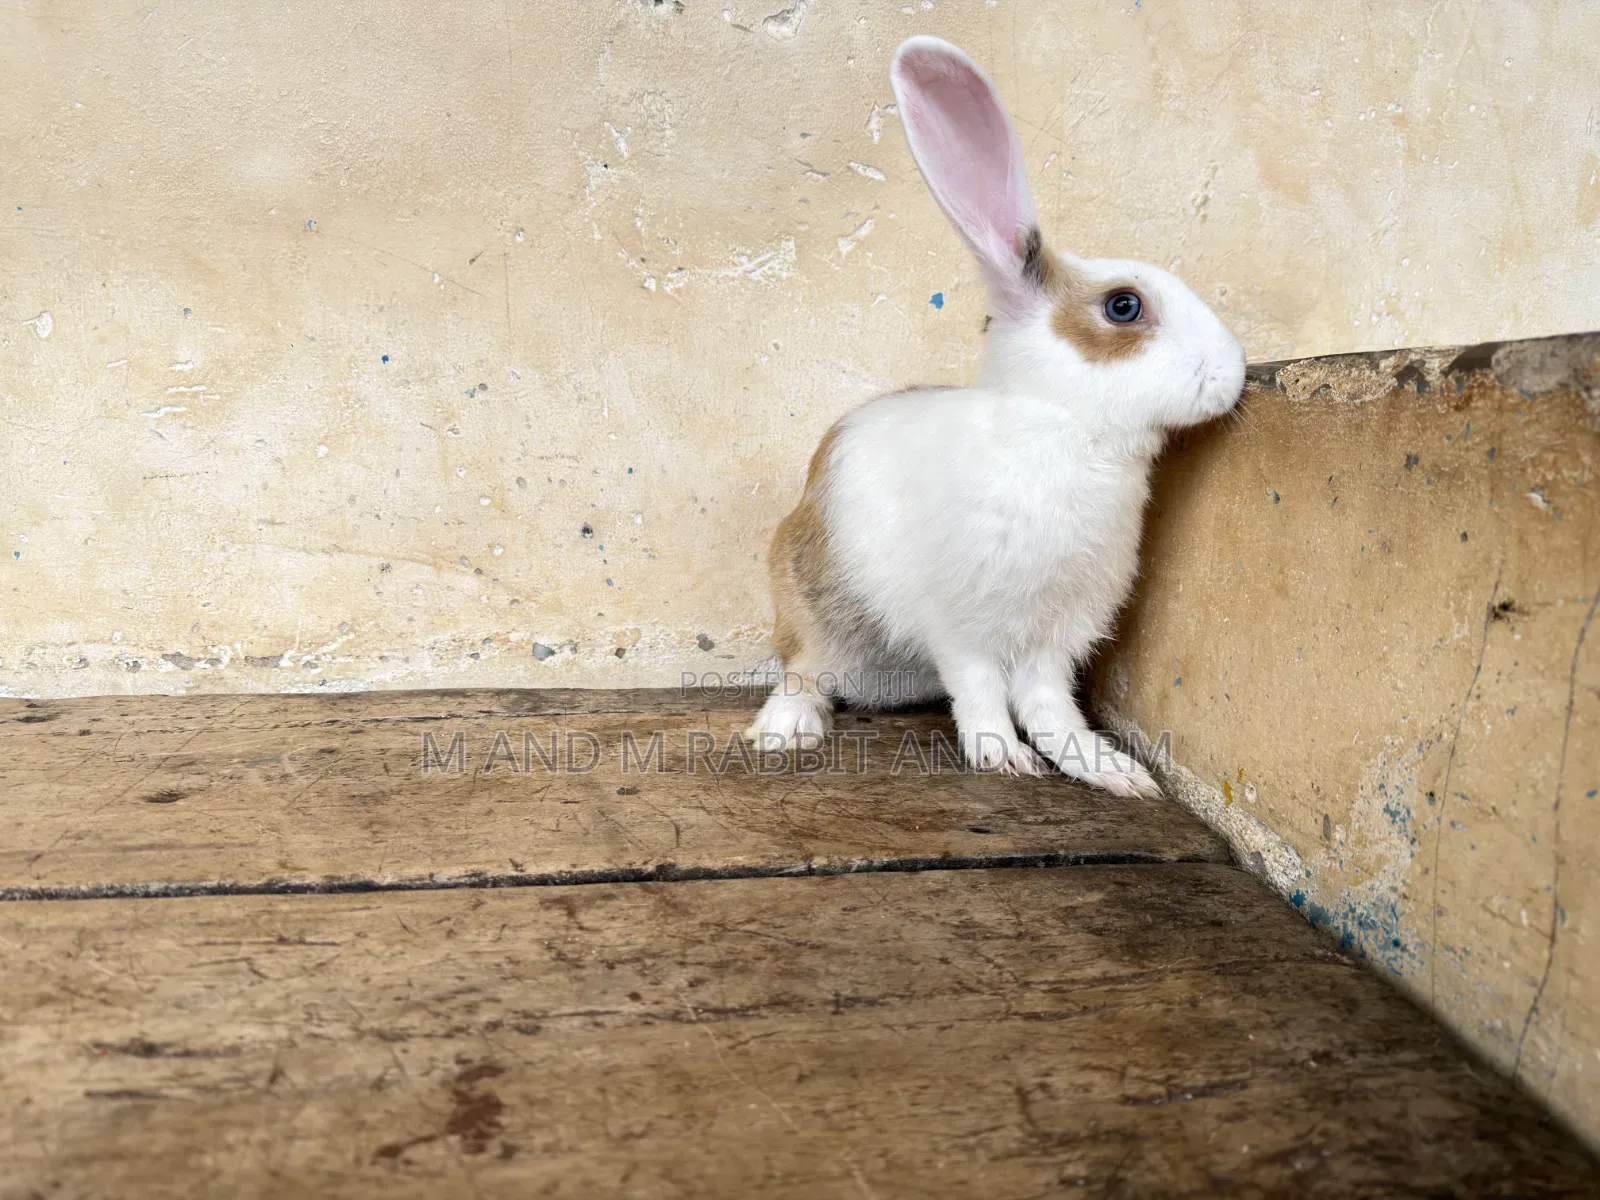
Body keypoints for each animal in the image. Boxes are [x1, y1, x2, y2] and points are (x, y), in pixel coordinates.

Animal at [744, 35, 1245, 799]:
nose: (1236, 369)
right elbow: (980, 694)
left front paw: (1112, 770)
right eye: (1123, 306)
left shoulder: (1058, 634)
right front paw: (1001, 757)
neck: (1066, 429)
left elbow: (1051, 709)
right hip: (809, 595)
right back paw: (783, 733)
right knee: (802, 669)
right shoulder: (965, 626)